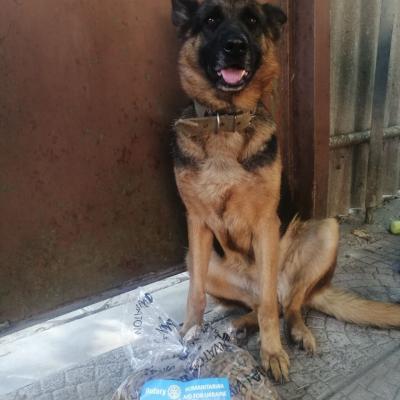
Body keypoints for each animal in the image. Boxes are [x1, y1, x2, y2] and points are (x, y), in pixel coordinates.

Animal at [170, 0, 400, 382]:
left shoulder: (265, 223)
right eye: (211, 20)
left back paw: (296, 331)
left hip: (325, 230)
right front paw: (190, 330)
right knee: (262, 302)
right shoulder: (197, 224)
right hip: (196, 258)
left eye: (252, 20)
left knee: (286, 304)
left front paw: (272, 352)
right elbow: (195, 293)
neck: (225, 122)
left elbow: (268, 308)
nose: (236, 46)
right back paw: (238, 324)